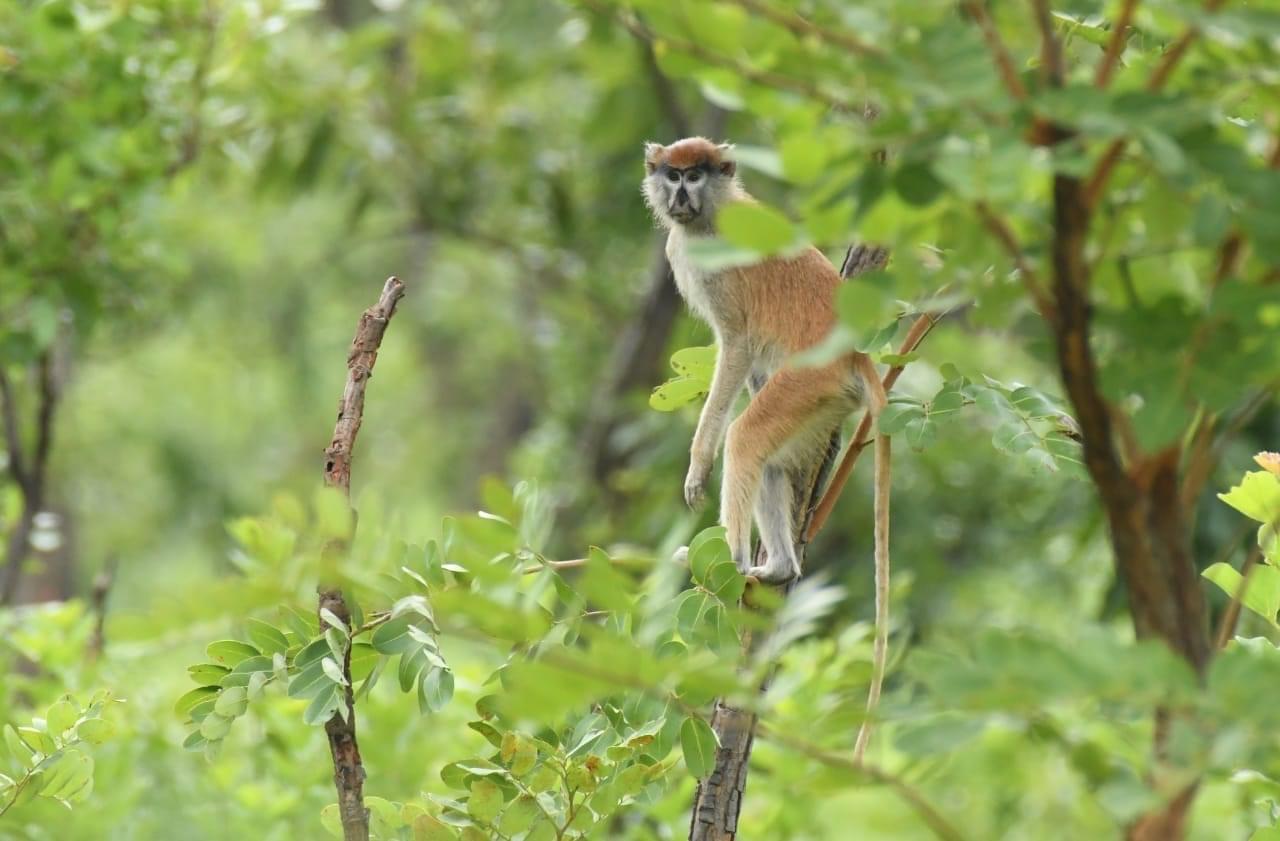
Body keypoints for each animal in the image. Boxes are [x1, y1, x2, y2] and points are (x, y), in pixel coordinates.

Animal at [642, 137, 892, 760]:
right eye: (672, 174)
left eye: (697, 175)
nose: (680, 195)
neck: (708, 216)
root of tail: (856, 355)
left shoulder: (719, 273)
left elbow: (735, 345)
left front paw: (698, 463)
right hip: (819, 399)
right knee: (772, 463)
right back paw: (777, 568)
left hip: (809, 379)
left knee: (746, 436)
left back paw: (731, 562)